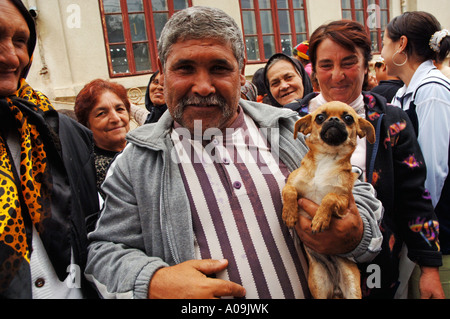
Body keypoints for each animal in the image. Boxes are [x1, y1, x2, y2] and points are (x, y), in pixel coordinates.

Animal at [282, 102, 376, 300]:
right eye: (320, 117)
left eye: (348, 118)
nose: (334, 120)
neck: (326, 159)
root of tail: (336, 288)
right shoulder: (292, 183)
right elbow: (289, 191)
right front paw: (289, 214)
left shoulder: (343, 200)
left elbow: (329, 198)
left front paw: (320, 219)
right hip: (318, 282)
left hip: (352, 286)